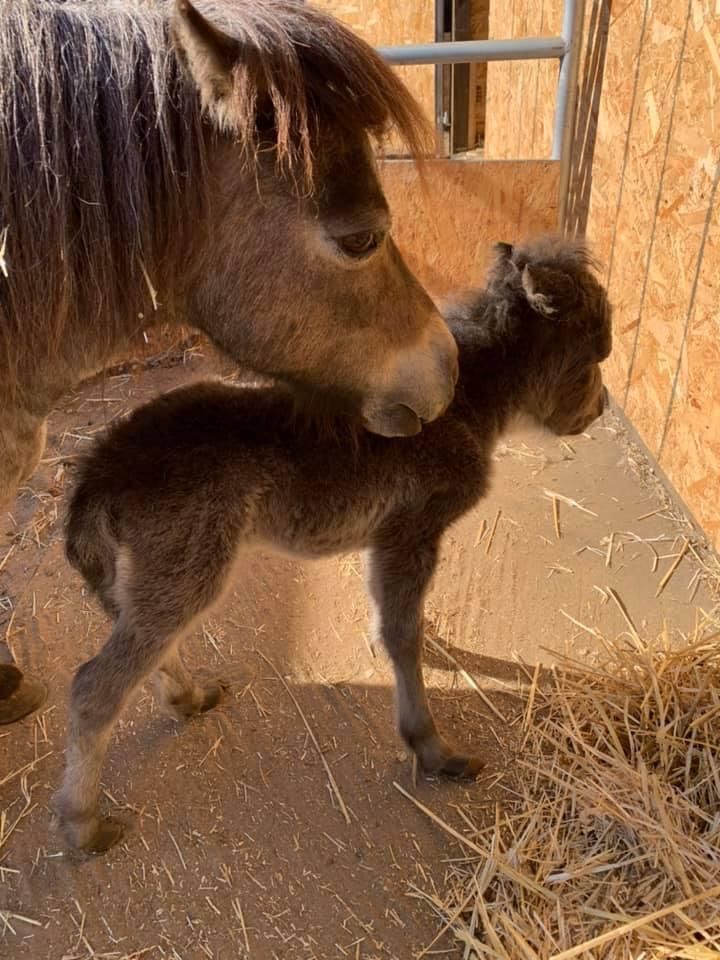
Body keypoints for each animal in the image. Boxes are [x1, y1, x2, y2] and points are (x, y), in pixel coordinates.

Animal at [57, 235, 612, 853]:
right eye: (595, 353)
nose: (600, 409)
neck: (468, 401)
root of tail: (100, 473)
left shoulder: (386, 539)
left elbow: (392, 619)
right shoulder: (411, 529)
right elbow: (402, 635)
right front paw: (433, 749)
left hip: (156, 573)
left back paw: (189, 697)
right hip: (187, 566)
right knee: (95, 685)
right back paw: (84, 823)